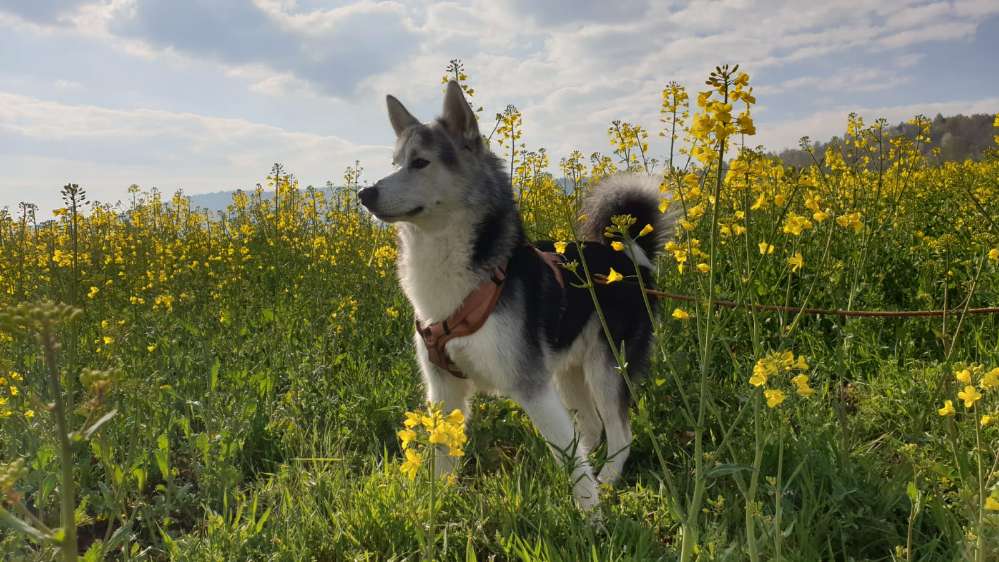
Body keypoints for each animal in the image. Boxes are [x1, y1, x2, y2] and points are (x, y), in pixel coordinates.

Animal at [360, 80, 680, 508]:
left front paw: (592, 515)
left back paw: (608, 481)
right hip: (567, 369)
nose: (365, 193)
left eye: (421, 163)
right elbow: (443, 454)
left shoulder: (532, 385)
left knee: (618, 433)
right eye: (395, 162)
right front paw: (440, 502)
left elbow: (575, 468)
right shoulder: (444, 389)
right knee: (589, 429)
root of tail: (627, 256)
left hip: (606, 365)